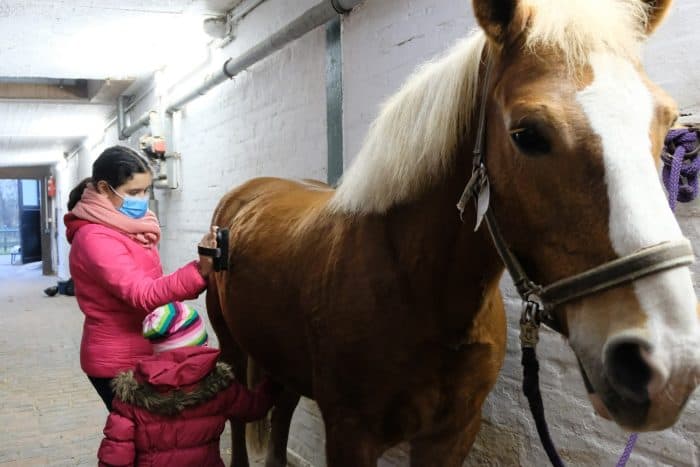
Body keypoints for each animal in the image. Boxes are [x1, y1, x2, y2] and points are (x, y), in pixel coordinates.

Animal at [206, 0, 700, 466]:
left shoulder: (454, 433)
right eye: (527, 134)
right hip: (233, 350)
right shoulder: (350, 435)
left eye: (666, 121)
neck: (418, 291)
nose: (669, 362)